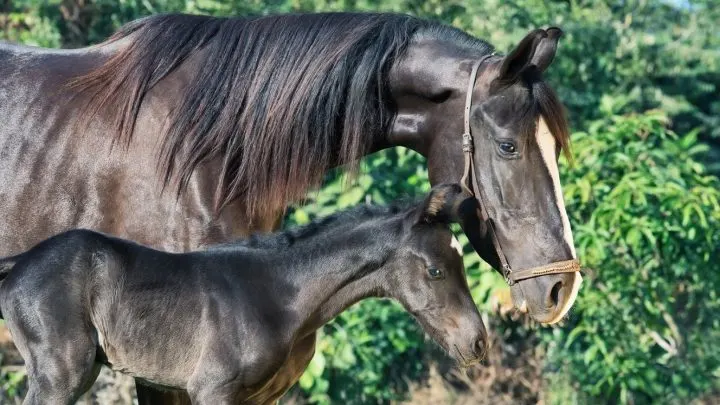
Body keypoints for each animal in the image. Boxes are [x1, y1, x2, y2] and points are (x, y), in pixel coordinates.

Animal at [0, 184, 485, 405]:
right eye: (437, 270)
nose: (477, 342)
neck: (278, 294)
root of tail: (18, 264)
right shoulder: (213, 388)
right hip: (62, 374)